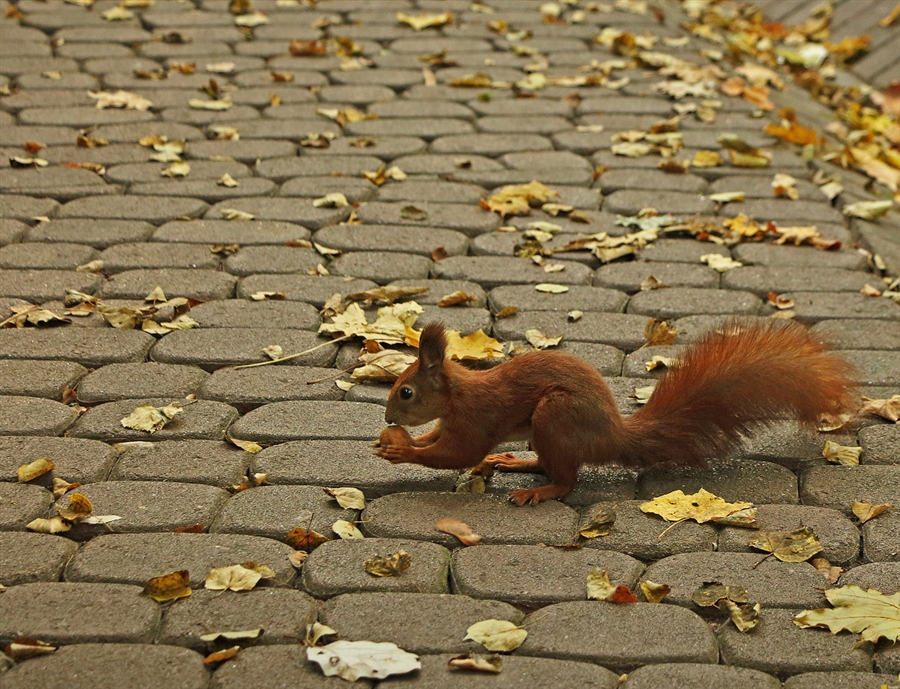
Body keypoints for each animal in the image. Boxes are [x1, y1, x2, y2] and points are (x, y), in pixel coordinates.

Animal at [374, 318, 856, 506]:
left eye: (406, 392)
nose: (387, 420)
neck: (457, 395)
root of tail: (612, 434)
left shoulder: (476, 419)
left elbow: (456, 454)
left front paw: (401, 451)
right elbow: (438, 443)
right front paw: (403, 442)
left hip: (555, 417)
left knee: (566, 481)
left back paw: (538, 492)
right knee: (549, 464)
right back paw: (516, 462)